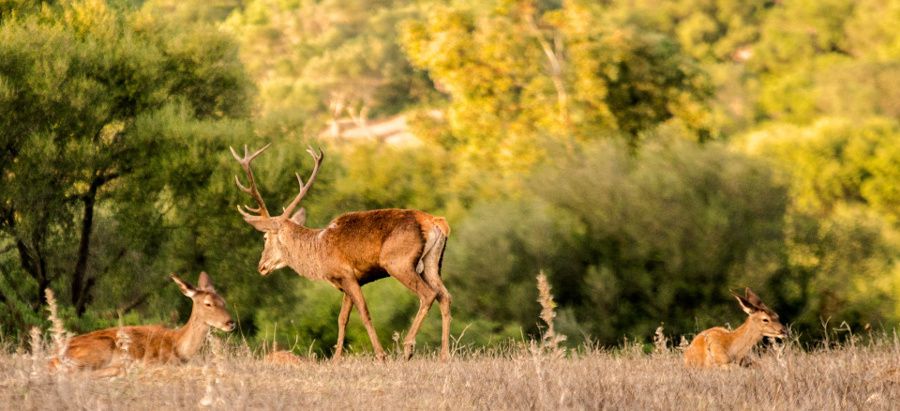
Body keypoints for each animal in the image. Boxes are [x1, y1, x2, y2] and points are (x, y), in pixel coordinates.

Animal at [49, 272, 236, 378]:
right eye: (208, 304)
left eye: (224, 301)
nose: (231, 322)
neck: (179, 346)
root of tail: (53, 359)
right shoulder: (157, 360)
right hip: (101, 347)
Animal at [229, 143, 454, 362]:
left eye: (265, 237)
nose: (261, 266)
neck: (319, 251)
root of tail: (436, 223)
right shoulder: (348, 281)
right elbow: (342, 318)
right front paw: (336, 360)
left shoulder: (347, 275)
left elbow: (364, 313)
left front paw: (381, 356)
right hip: (432, 263)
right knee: (445, 296)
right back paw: (444, 355)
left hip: (398, 262)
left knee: (428, 294)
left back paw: (408, 348)